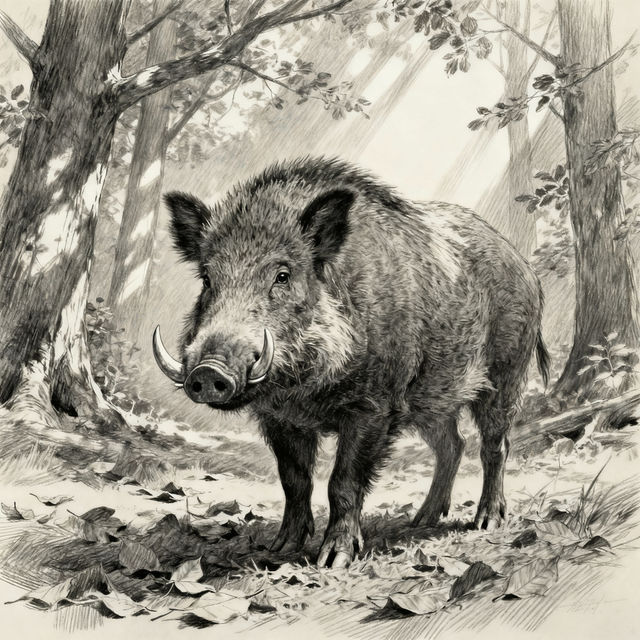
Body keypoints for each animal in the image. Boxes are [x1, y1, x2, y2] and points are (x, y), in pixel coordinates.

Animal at [153, 157, 549, 568]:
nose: (208, 371)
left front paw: (334, 560)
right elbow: (294, 480)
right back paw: (420, 521)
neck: (304, 391)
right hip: (431, 401)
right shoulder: (278, 418)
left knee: (495, 444)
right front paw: (279, 548)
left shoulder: (374, 407)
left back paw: (487, 521)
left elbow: (342, 482)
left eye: (282, 275)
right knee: (452, 445)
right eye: (207, 278)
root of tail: (524, 265)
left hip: (507, 372)